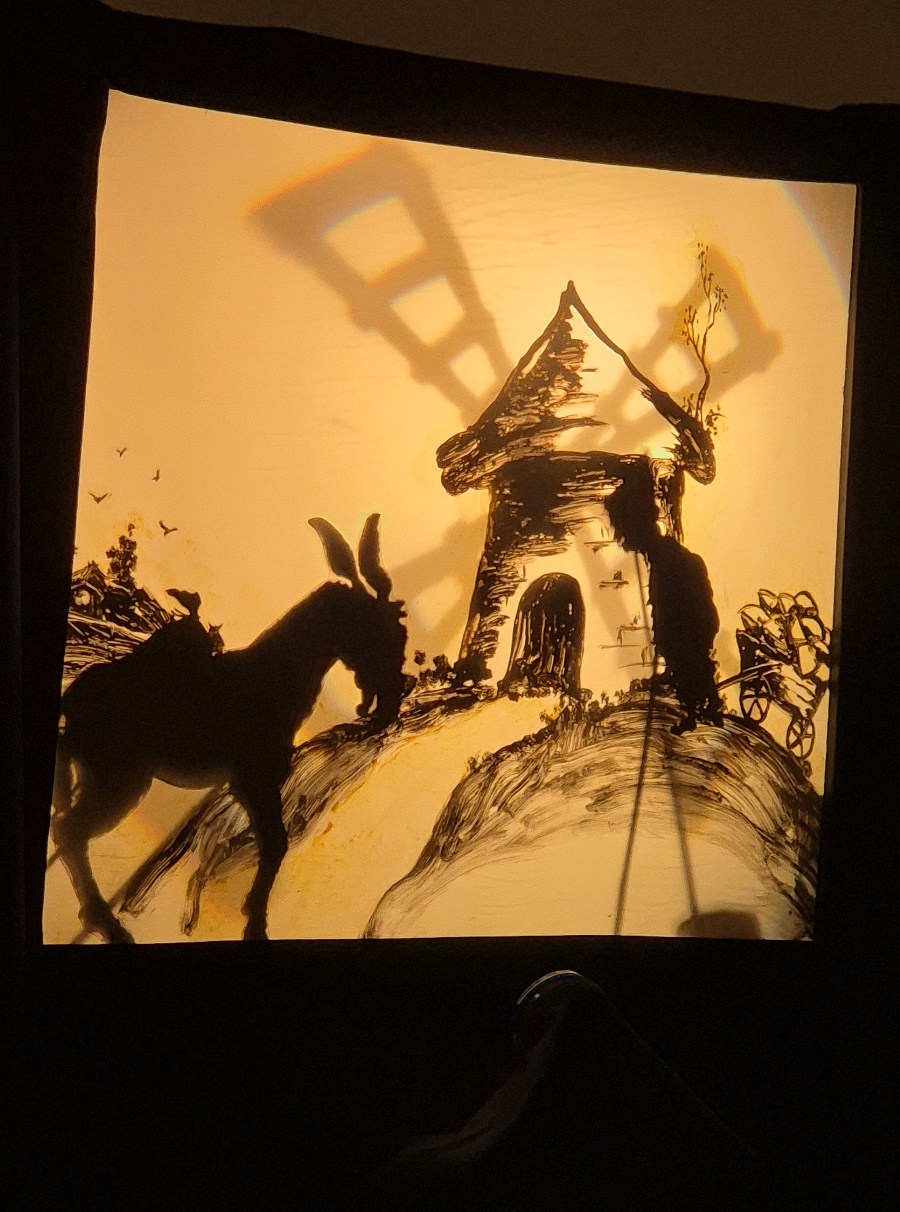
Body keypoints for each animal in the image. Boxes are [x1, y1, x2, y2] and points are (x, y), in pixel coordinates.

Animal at [52, 513, 409, 943]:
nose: (392, 703)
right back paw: (109, 925)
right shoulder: (254, 780)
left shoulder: (249, 785)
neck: (272, 678)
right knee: (70, 832)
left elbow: (267, 844)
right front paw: (255, 925)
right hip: (119, 780)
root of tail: (73, 698)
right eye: (378, 632)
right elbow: (275, 845)